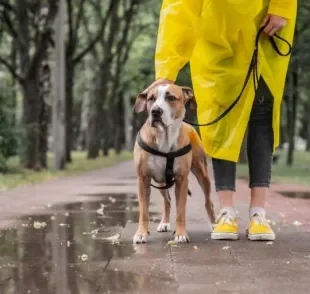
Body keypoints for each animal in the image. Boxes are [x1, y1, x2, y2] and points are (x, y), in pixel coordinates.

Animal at [133, 84, 216, 243]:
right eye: (151, 98)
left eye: (171, 97)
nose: (155, 111)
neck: (164, 138)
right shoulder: (143, 179)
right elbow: (144, 211)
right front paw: (141, 233)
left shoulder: (182, 179)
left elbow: (181, 210)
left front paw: (181, 234)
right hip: (160, 182)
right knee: (167, 201)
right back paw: (164, 223)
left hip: (202, 173)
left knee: (208, 201)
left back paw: (215, 224)